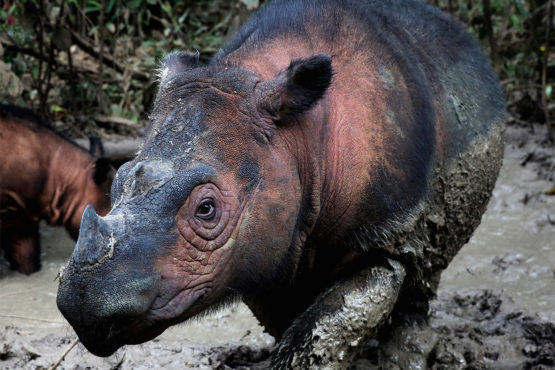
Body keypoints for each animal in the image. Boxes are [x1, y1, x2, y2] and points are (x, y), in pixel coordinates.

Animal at [57, 0, 508, 366]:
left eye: (206, 209)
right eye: (116, 186)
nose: (82, 303)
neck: (297, 140)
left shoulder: (382, 235)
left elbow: (320, 329)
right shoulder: (260, 249)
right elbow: (290, 324)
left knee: (424, 265)